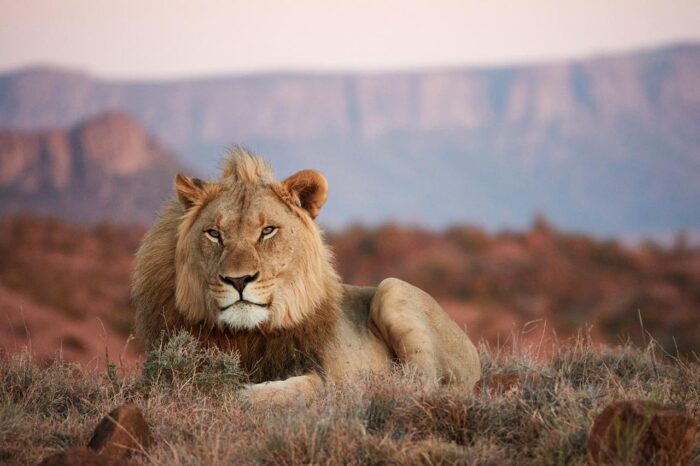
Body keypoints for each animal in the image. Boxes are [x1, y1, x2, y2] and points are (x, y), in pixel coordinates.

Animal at [131, 149, 482, 404]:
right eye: (215, 234)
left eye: (267, 231)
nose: (239, 280)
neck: (247, 335)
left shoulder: (318, 370)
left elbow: (310, 384)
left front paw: (244, 392)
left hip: (391, 290)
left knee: (421, 385)